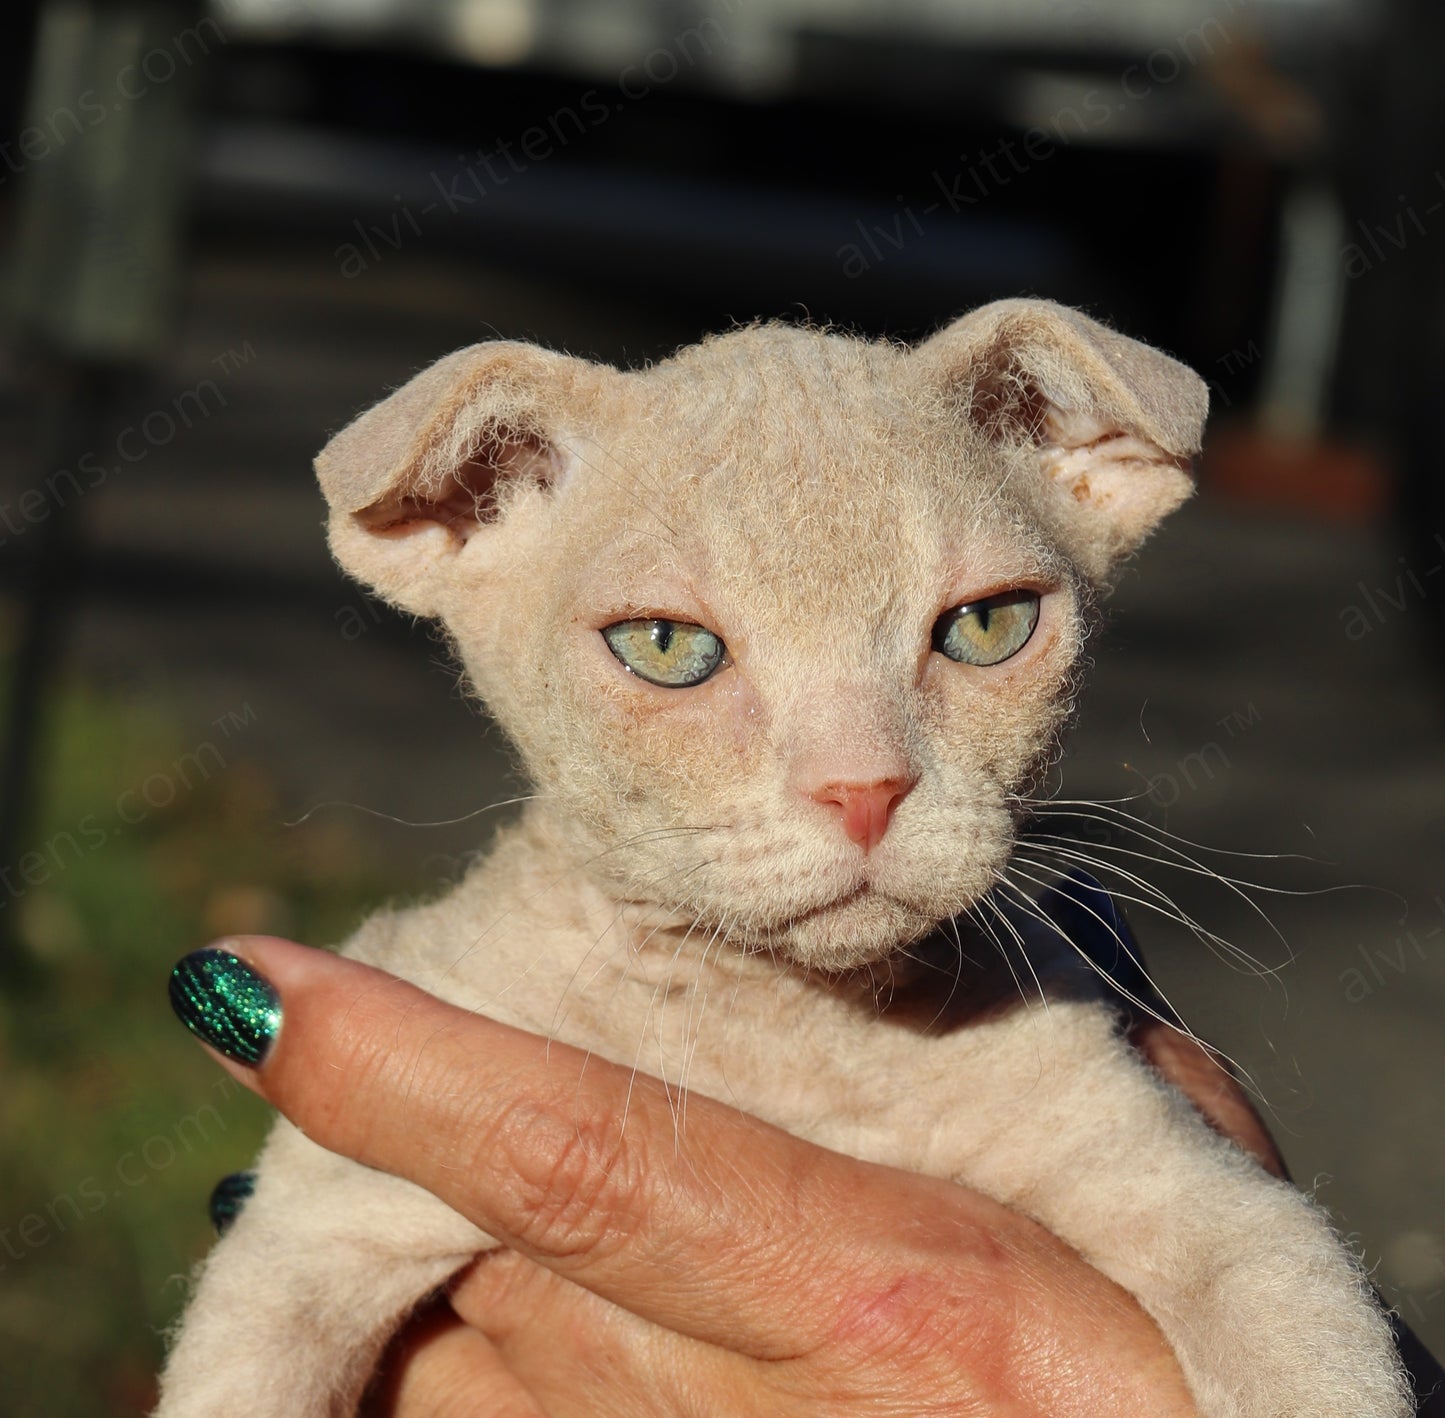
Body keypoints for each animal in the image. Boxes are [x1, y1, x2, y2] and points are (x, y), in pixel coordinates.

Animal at [155, 302, 1410, 1416]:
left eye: (987, 626)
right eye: (666, 646)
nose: (863, 789)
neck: (780, 1035)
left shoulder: (1199, 1194)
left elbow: (1307, 1338)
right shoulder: (320, 1221)